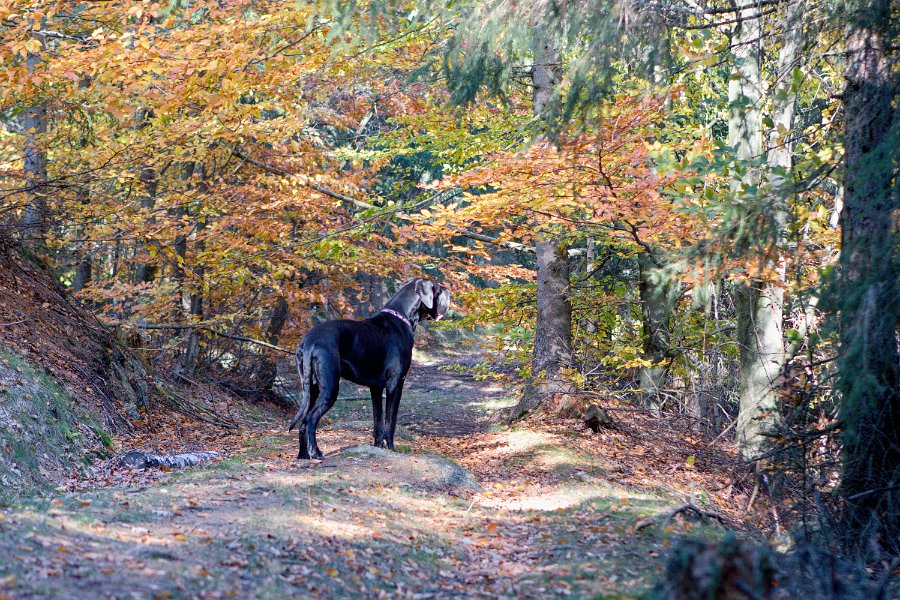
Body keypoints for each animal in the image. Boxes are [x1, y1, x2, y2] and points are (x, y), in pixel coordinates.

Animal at [288, 278, 450, 460]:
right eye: (439, 290)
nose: (449, 293)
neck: (401, 317)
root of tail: (310, 341)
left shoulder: (376, 388)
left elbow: (378, 421)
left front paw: (378, 447)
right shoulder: (395, 384)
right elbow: (390, 420)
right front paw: (391, 448)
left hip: (311, 388)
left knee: (303, 422)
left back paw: (303, 455)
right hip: (330, 388)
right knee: (310, 418)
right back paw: (316, 452)